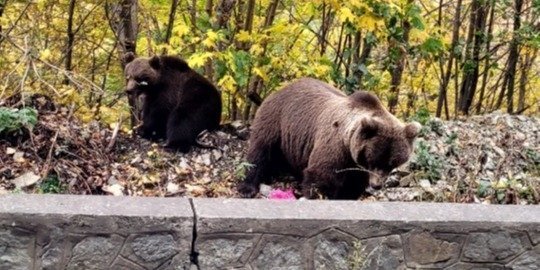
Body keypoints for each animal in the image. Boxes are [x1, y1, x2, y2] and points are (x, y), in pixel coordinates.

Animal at [237, 77, 422, 199]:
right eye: (373, 160)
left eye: (392, 163)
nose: (377, 184)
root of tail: (281, 89)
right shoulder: (335, 146)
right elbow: (321, 177)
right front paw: (319, 195)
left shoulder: (356, 166)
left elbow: (353, 186)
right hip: (277, 121)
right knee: (260, 152)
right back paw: (248, 187)